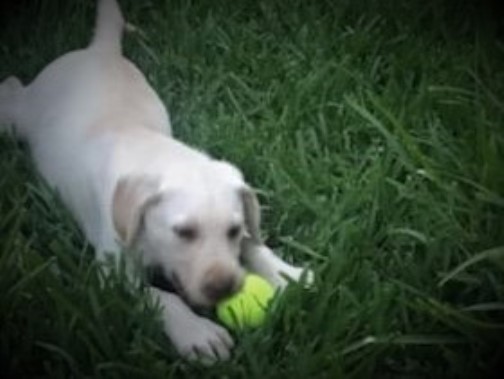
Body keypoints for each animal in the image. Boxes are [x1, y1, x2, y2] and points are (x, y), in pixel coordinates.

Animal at [0, 0, 312, 362]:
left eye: (232, 230)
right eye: (183, 232)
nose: (224, 289)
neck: (157, 154)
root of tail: (99, 50)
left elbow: (253, 245)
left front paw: (287, 273)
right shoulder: (114, 271)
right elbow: (161, 297)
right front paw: (197, 332)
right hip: (18, 118)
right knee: (12, 92)